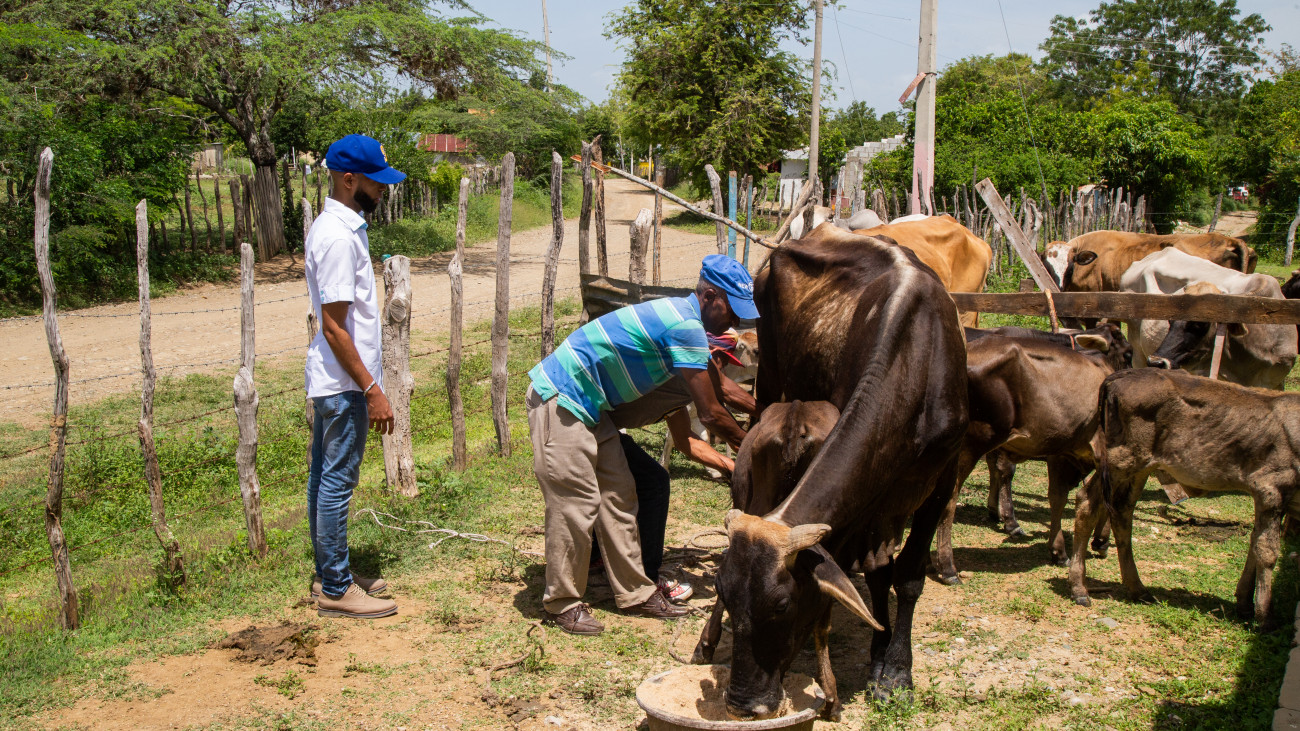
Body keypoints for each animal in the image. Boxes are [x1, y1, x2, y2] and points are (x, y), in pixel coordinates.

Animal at [701, 224, 969, 718]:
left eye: (782, 605)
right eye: (724, 593)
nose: (744, 704)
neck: (915, 358)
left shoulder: (939, 479)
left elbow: (906, 576)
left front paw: (894, 668)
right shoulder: (868, 501)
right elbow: (878, 572)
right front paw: (879, 653)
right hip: (769, 378)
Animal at [931, 334, 1125, 584]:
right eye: (1127, 352)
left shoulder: (1059, 452)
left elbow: (1057, 497)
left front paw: (1059, 551)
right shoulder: (1102, 453)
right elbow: (1103, 499)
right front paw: (1101, 540)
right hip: (972, 444)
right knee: (948, 498)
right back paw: (948, 567)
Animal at [1068, 369, 1300, 628]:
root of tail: (1124, 374)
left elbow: (1254, 542)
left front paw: (1244, 604)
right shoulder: (1270, 488)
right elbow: (1266, 550)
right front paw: (1265, 615)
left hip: (1140, 467)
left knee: (1121, 511)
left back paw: (1138, 589)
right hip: (1122, 460)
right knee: (1088, 502)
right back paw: (1080, 589)